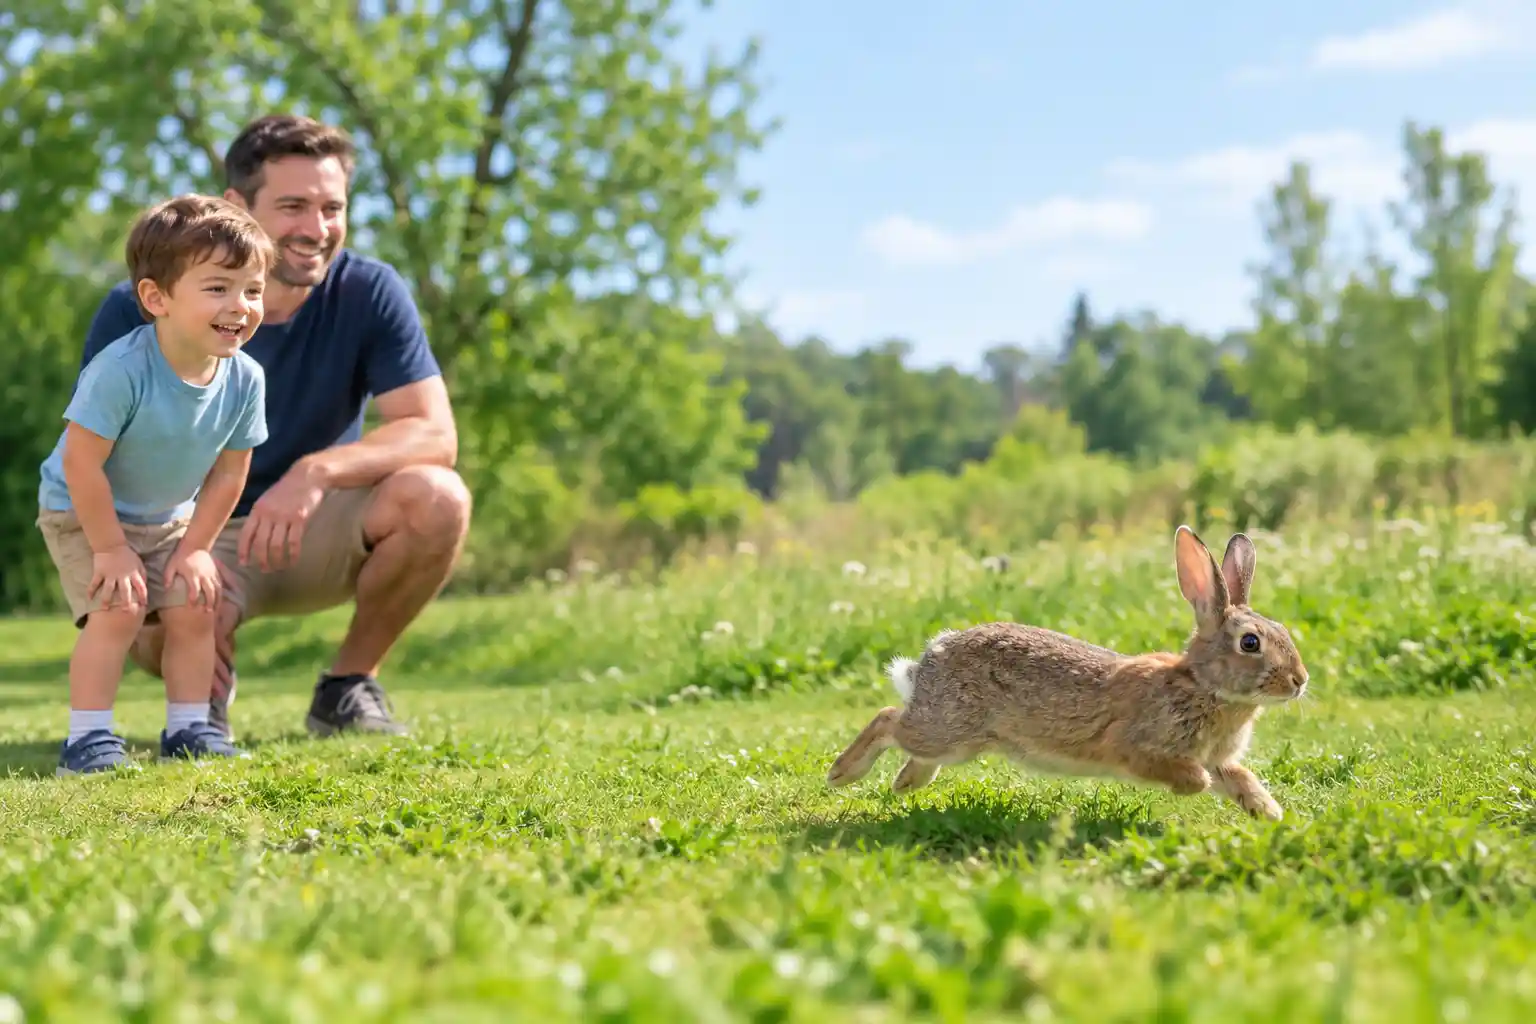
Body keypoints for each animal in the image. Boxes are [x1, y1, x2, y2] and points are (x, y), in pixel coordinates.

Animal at [825, 525, 1307, 821]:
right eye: (1250, 643)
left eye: (1283, 632)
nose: (1299, 681)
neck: (1203, 686)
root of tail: (933, 654)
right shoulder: (1137, 747)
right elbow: (1194, 777)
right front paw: (1203, 790)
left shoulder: (1217, 758)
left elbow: (1238, 777)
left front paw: (1269, 812)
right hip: (948, 729)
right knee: (889, 718)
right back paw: (842, 773)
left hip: (957, 741)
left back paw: (908, 781)